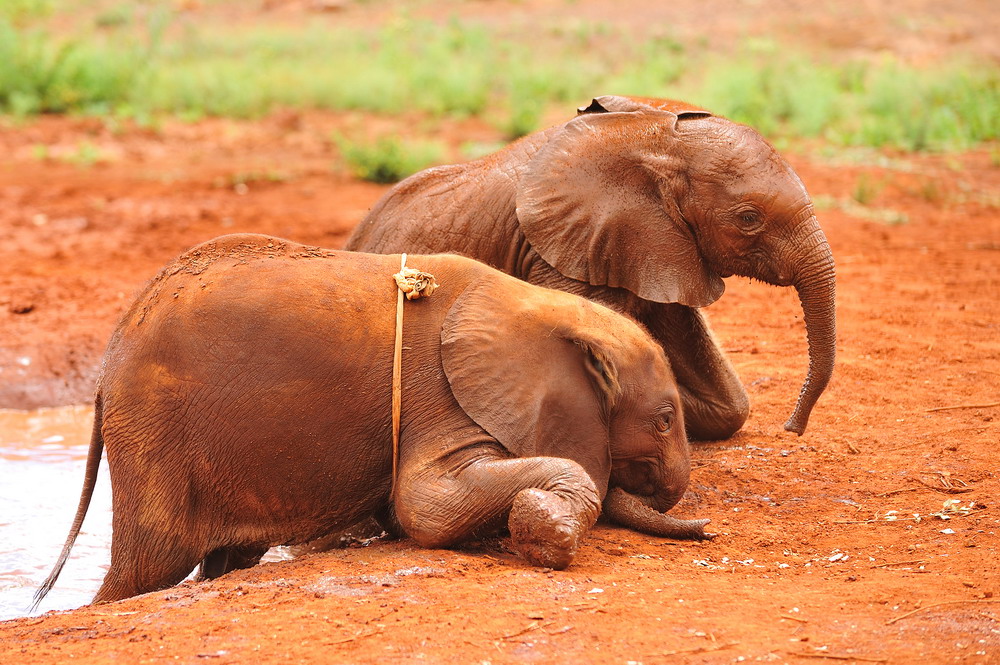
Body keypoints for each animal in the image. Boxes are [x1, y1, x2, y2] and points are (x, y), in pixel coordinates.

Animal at [35, 233, 712, 608]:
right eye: (664, 419)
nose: (703, 529)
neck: (543, 307)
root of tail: (108, 359)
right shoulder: (440, 395)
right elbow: (425, 506)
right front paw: (544, 533)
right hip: (153, 428)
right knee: (149, 568)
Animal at [348, 93, 840, 436]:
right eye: (749, 219)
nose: (791, 429)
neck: (654, 134)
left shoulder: (652, 244)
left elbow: (728, 404)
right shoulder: (557, 248)